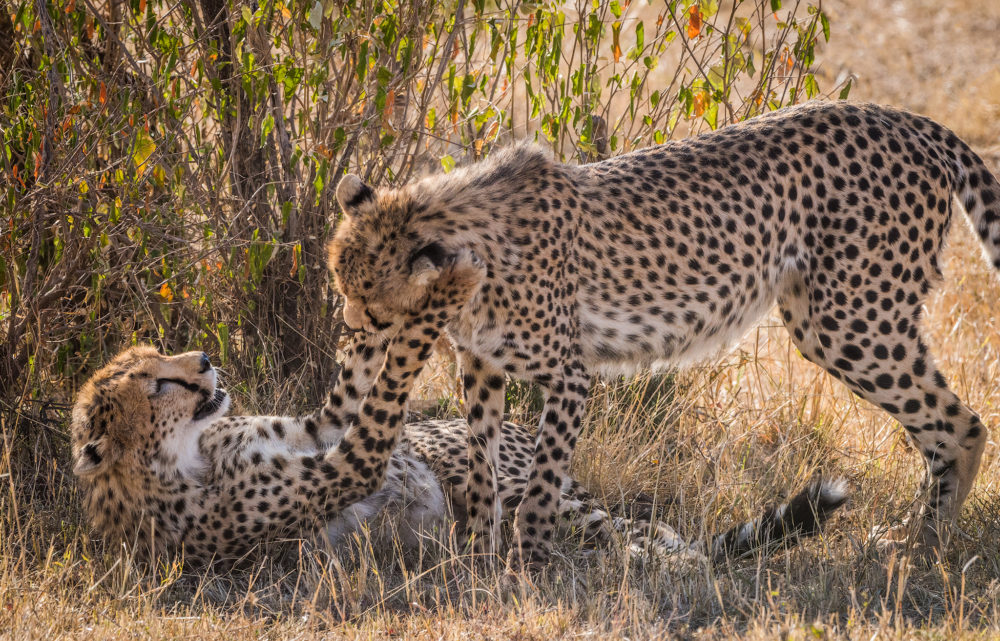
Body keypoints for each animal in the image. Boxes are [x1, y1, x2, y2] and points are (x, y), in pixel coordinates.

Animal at [330, 101, 1000, 564]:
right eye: (345, 286)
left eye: (369, 300)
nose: (349, 333)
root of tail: (905, 119)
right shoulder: (482, 367)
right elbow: (482, 464)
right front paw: (475, 549)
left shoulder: (570, 374)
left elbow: (543, 480)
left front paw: (529, 560)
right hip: (830, 318)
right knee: (940, 428)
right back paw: (912, 538)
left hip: (850, 319)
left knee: (962, 424)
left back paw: (920, 549)